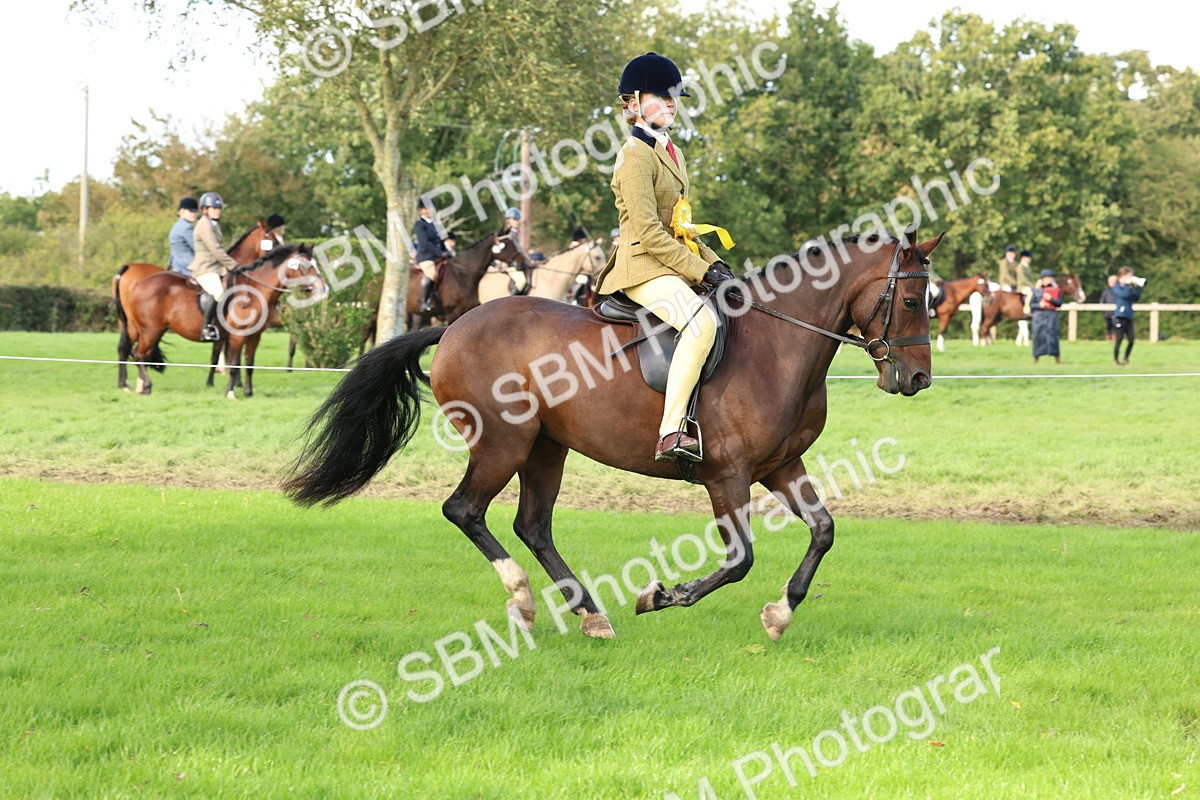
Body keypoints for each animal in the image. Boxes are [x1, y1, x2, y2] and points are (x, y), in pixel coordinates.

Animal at [116, 244, 326, 398]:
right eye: (305, 266)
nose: (323, 289)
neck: (253, 291)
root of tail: (140, 283)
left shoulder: (254, 337)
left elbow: (249, 363)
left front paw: (248, 392)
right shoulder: (237, 336)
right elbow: (234, 364)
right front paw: (231, 392)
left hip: (137, 329)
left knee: (127, 350)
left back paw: (128, 386)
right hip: (151, 330)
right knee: (139, 354)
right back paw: (145, 386)